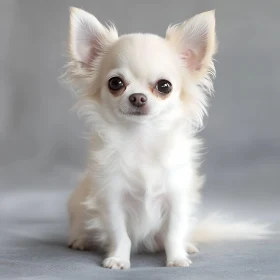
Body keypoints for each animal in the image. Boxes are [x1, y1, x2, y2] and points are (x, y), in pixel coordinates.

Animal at [65, 7, 270, 270]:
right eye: (115, 83)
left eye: (164, 86)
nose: (137, 97)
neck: (142, 138)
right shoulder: (112, 200)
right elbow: (120, 235)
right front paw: (118, 259)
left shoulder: (177, 198)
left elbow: (174, 233)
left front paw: (177, 258)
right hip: (77, 204)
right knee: (79, 224)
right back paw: (80, 239)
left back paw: (188, 246)